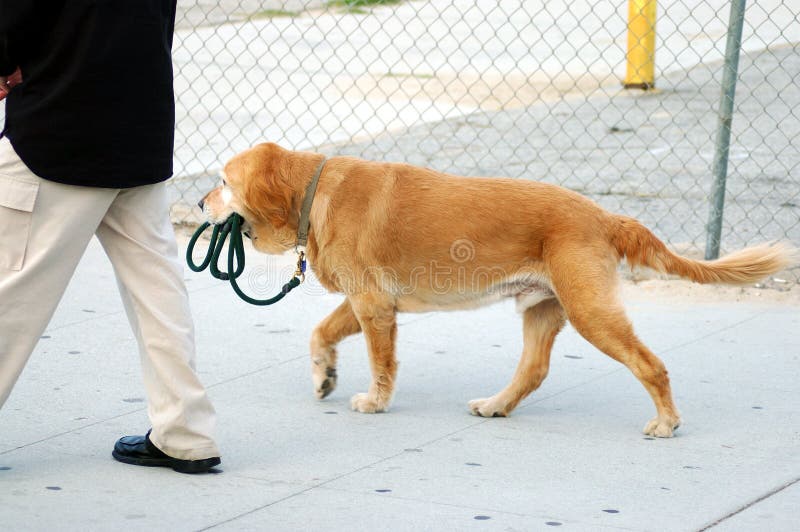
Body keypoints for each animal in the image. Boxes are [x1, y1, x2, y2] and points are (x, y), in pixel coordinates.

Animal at [198, 142, 792, 436]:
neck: (313, 190)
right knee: (534, 370)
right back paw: (496, 405)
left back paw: (667, 422)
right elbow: (320, 333)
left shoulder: (373, 306)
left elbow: (381, 363)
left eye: (223, 182)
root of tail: (605, 215)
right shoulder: (371, 303)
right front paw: (325, 375)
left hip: (591, 311)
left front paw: (376, 401)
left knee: (651, 365)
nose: (199, 203)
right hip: (543, 309)